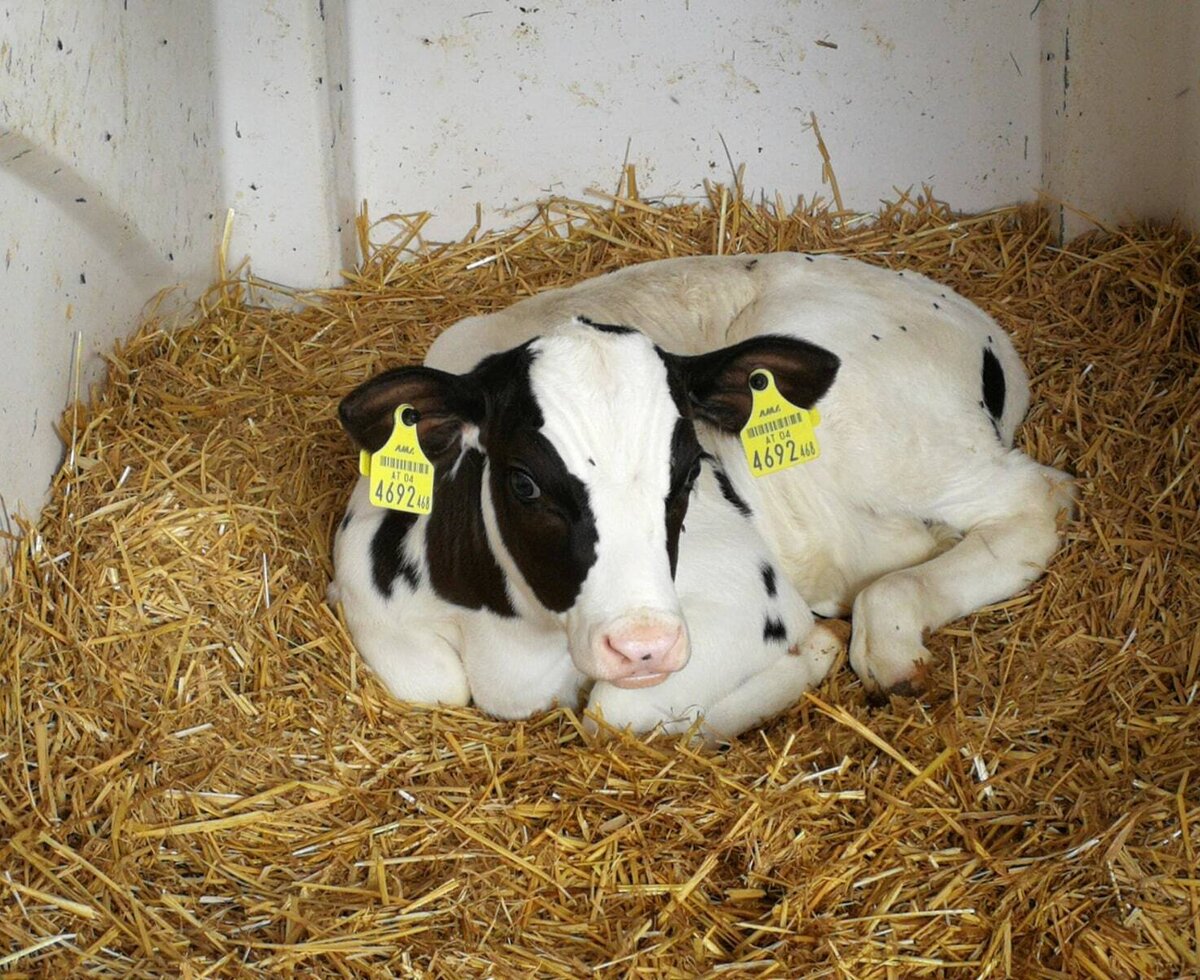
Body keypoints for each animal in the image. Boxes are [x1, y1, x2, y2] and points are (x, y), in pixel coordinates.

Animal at [329, 253, 1073, 737]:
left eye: (688, 471)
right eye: (523, 480)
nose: (643, 645)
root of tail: (973, 317)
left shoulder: (740, 597)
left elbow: (610, 714)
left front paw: (810, 654)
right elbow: (432, 685)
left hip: (887, 438)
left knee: (1032, 500)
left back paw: (887, 638)